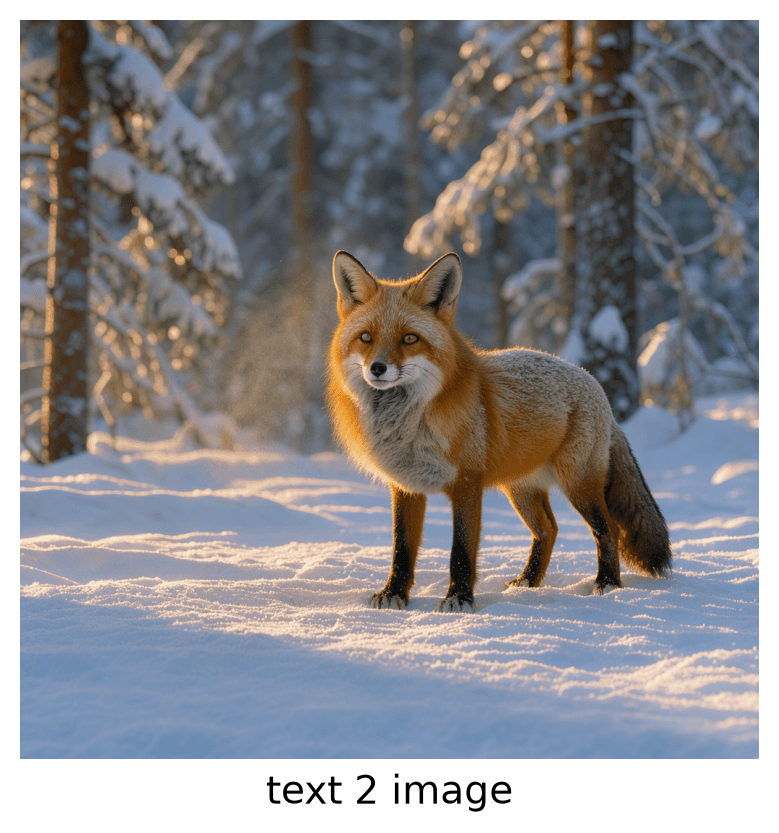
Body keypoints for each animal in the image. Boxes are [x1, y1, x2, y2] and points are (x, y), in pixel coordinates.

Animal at [326, 249, 672, 612]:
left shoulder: (466, 483)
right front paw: (394, 593)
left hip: (579, 484)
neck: (408, 425)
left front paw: (459, 599)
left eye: (409, 338)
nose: (377, 368)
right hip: (521, 489)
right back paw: (528, 583)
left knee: (609, 531)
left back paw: (607, 584)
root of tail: (592, 381)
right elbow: (401, 549)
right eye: (366, 337)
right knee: (548, 529)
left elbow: (461, 551)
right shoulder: (406, 487)